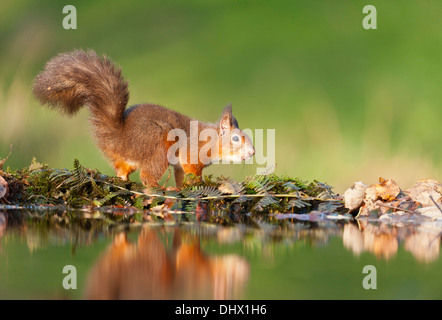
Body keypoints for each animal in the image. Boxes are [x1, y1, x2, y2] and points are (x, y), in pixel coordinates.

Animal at [32, 48, 256, 186]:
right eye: (236, 138)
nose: (253, 153)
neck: (212, 140)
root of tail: (118, 137)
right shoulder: (192, 152)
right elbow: (192, 171)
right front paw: (199, 184)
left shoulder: (179, 165)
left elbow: (180, 176)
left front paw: (181, 187)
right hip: (159, 142)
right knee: (147, 176)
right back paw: (160, 188)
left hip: (130, 158)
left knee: (123, 171)